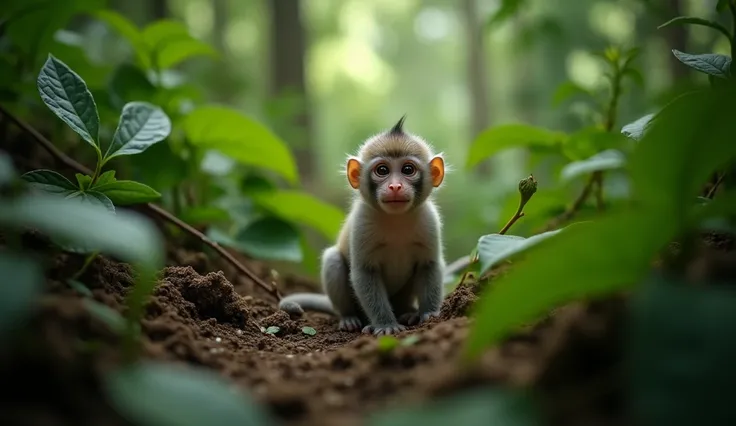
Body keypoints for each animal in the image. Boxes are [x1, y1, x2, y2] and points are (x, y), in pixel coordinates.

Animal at [278, 117, 446, 336]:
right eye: (382, 170)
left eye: (408, 170)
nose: (395, 187)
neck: (396, 219)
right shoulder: (361, 221)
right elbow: (364, 272)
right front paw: (385, 324)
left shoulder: (430, 220)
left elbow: (429, 265)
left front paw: (430, 314)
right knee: (333, 259)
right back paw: (350, 318)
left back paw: (408, 312)